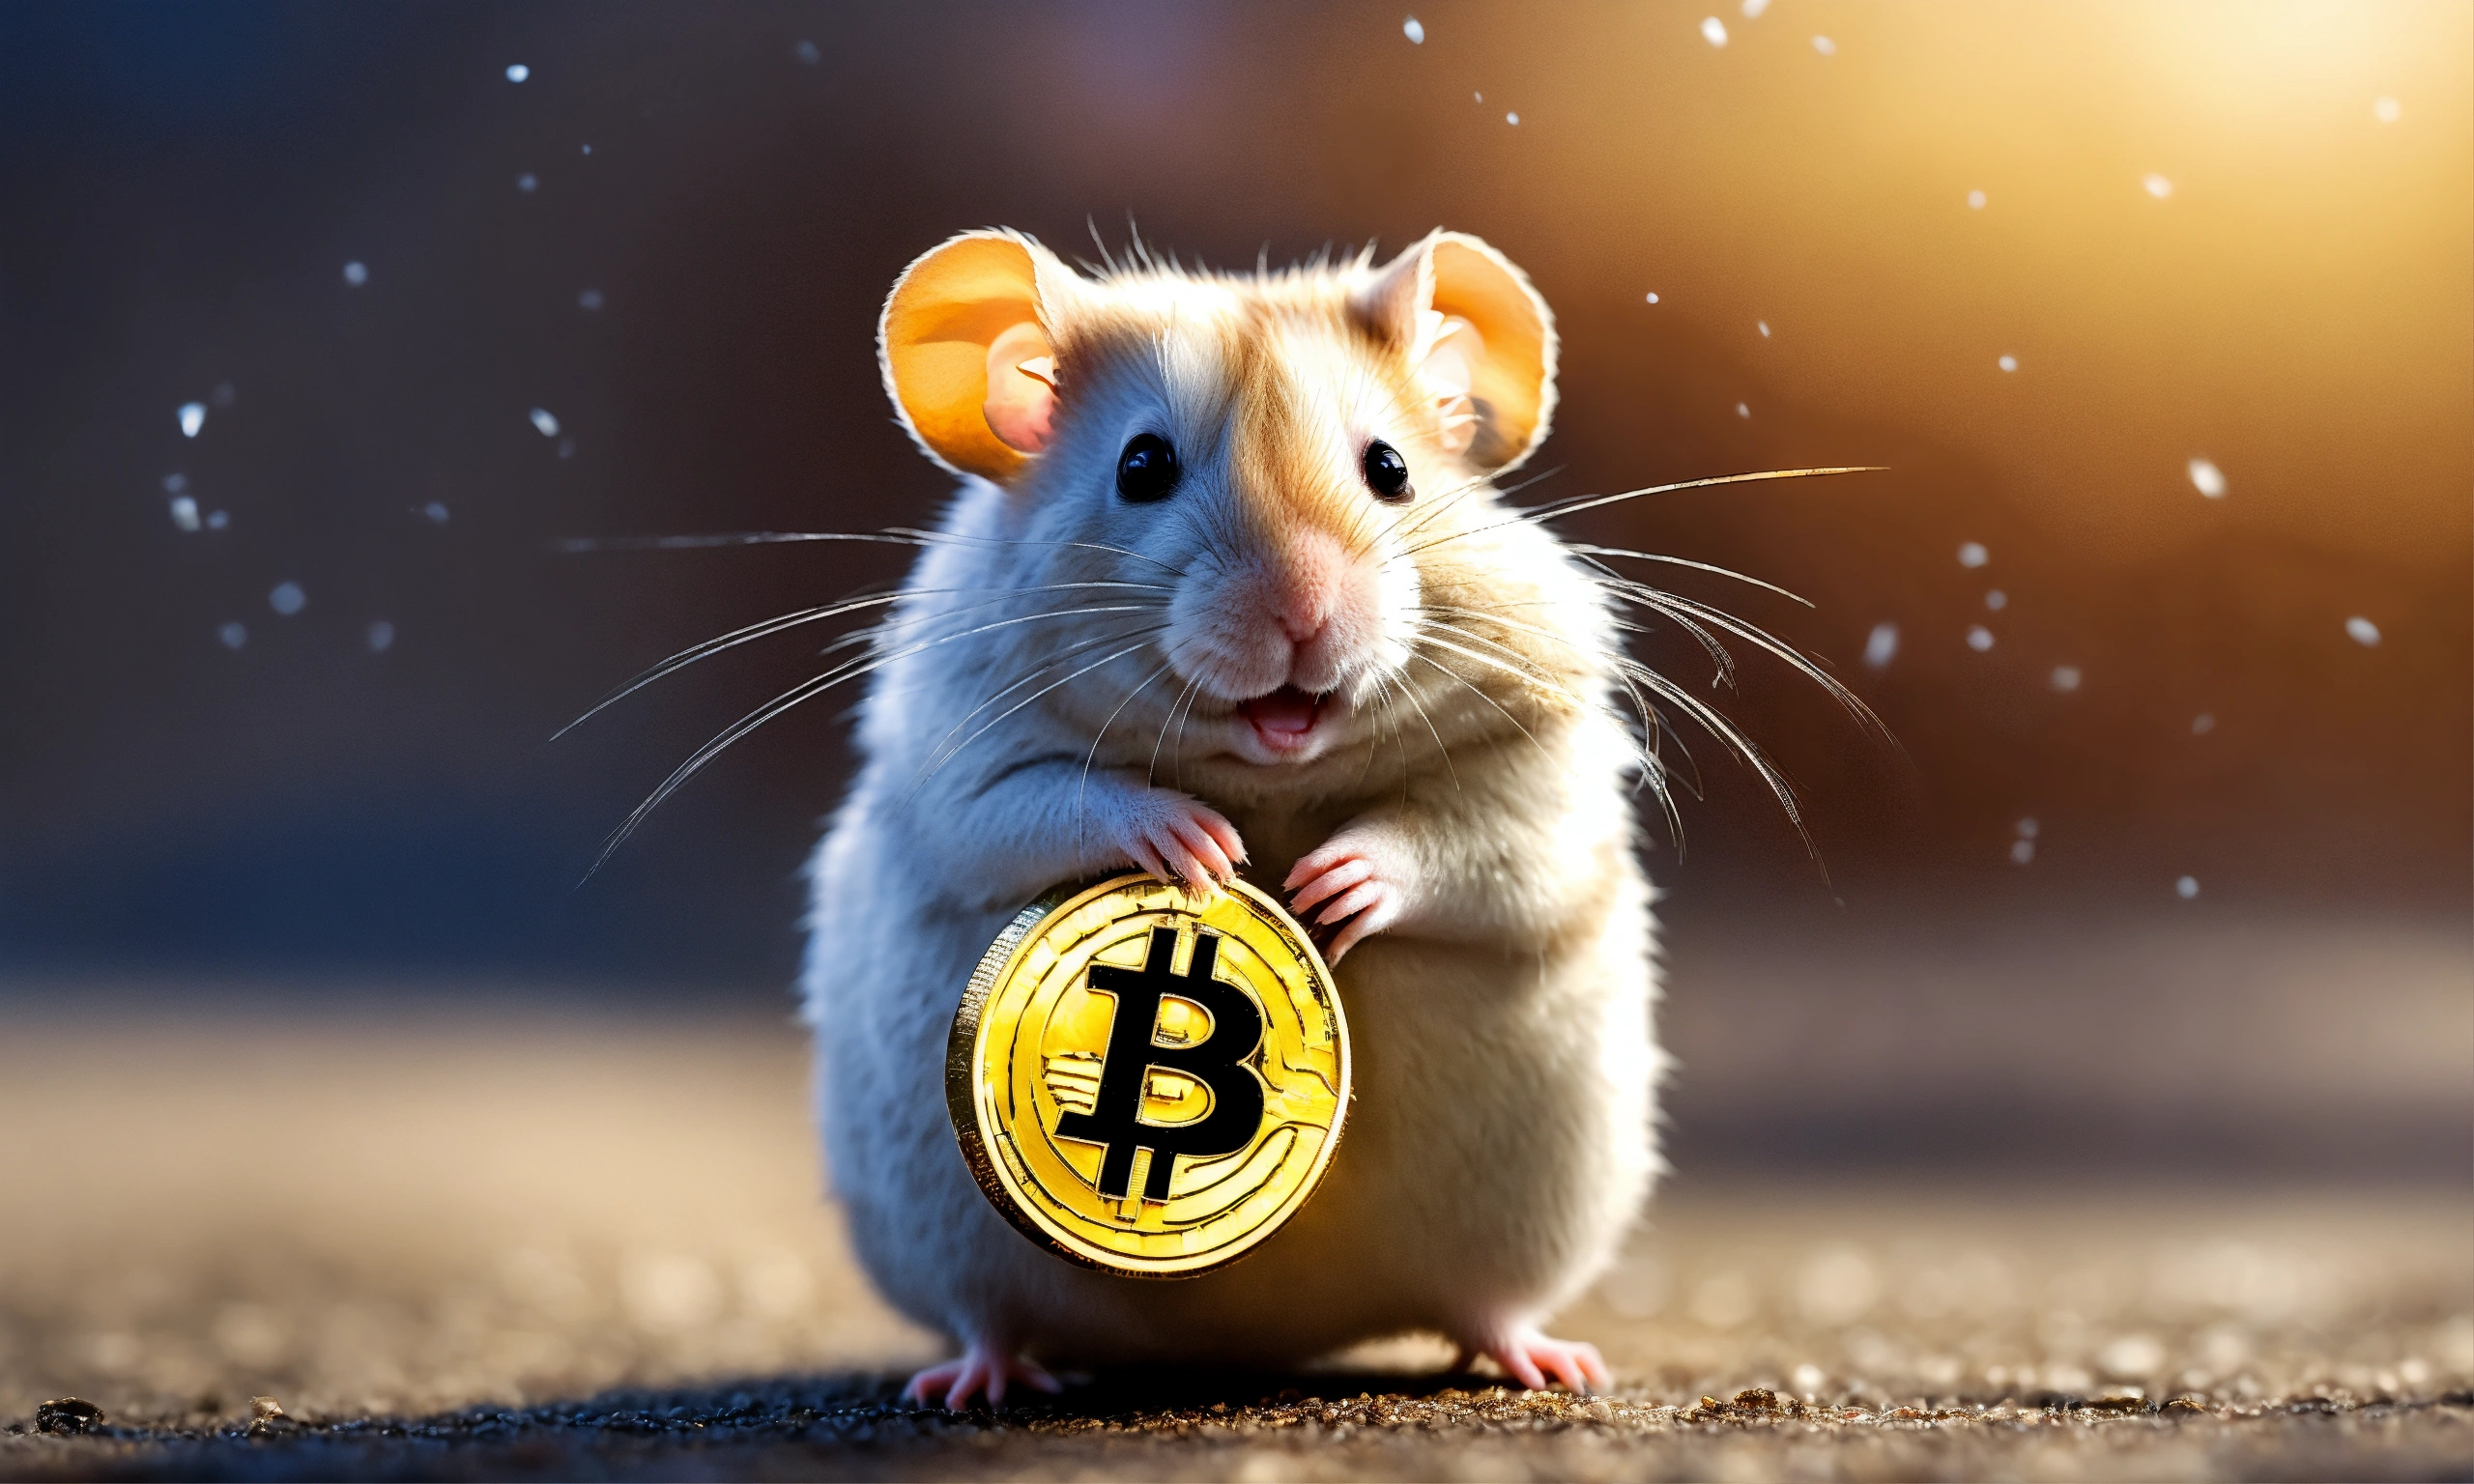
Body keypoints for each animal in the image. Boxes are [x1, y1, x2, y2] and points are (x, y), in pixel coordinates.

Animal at [802, 228, 1662, 1408]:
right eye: (1141, 468)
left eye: (1391, 469)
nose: (1302, 611)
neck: (1272, 772)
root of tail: (1258, 1346)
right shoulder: (958, 755)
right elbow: (1040, 803)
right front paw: (1196, 845)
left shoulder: (1546, 765)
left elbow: (1474, 838)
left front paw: (1334, 887)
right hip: (947, 1244)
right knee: (988, 1317)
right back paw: (976, 1379)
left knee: (1485, 1304)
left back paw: (1550, 1363)